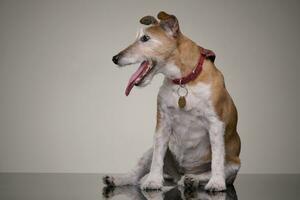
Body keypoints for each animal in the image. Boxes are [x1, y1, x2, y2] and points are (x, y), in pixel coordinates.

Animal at [104, 11, 240, 192]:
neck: (184, 81)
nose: (115, 58)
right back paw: (118, 179)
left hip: (234, 165)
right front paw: (153, 181)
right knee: (136, 173)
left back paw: (192, 179)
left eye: (145, 38)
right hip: (150, 151)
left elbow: (217, 159)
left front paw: (216, 183)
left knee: (205, 173)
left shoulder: (215, 124)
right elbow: (157, 159)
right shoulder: (163, 124)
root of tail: (178, 174)